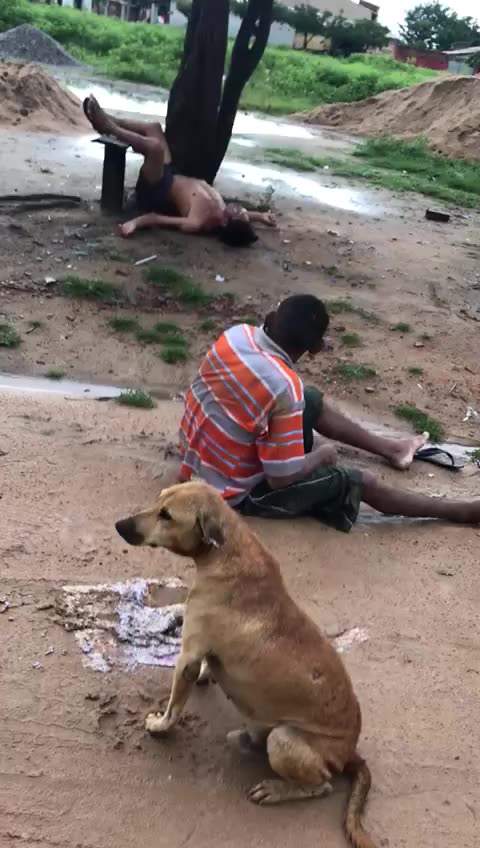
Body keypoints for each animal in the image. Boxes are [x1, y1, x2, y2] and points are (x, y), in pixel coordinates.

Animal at [116, 482, 376, 848]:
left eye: (167, 515)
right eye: (158, 500)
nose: (120, 525)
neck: (225, 550)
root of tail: (350, 751)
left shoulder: (187, 656)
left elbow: (175, 705)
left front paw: (160, 726)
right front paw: (208, 676)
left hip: (283, 740)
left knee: (321, 786)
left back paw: (277, 789)